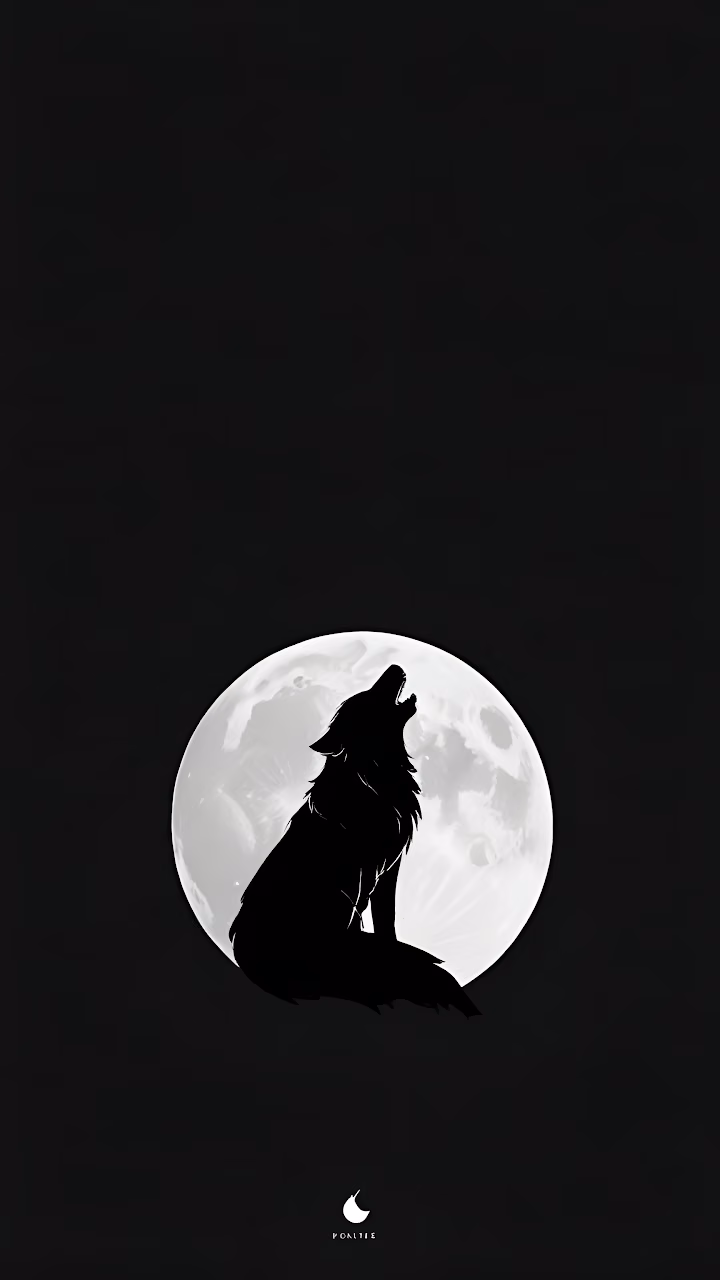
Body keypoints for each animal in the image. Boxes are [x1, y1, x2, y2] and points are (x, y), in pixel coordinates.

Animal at [229, 664, 479, 1016]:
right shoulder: (366, 869)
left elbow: (387, 919)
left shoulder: (390, 868)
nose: (395, 666)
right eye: (369, 697)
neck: (373, 774)